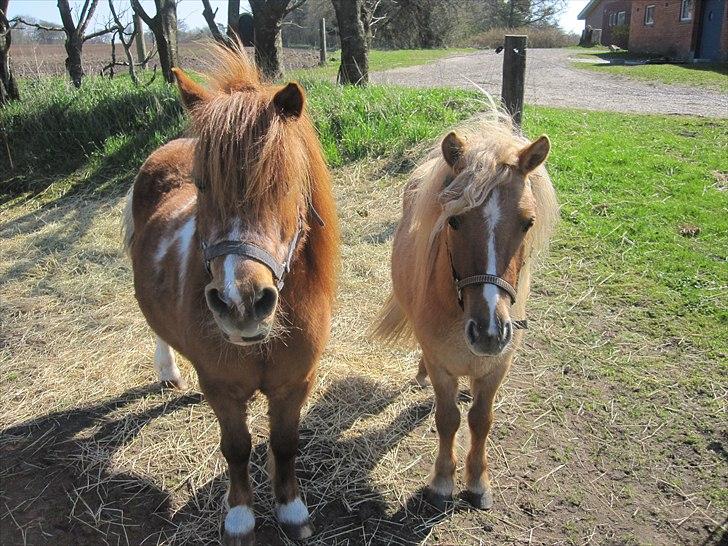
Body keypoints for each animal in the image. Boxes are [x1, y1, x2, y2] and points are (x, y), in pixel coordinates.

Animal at [123, 47, 340, 544]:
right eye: (202, 185)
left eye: (282, 183)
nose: (240, 303)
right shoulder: (221, 388)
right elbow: (237, 448)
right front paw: (240, 517)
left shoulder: (295, 384)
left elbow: (285, 443)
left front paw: (291, 510)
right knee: (155, 329)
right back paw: (169, 373)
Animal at [376, 112, 556, 508]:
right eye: (454, 220)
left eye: (528, 222)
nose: (490, 332)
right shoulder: (443, 367)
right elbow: (448, 419)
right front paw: (443, 481)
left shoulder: (496, 368)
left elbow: (480, 420)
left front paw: (477, 481)